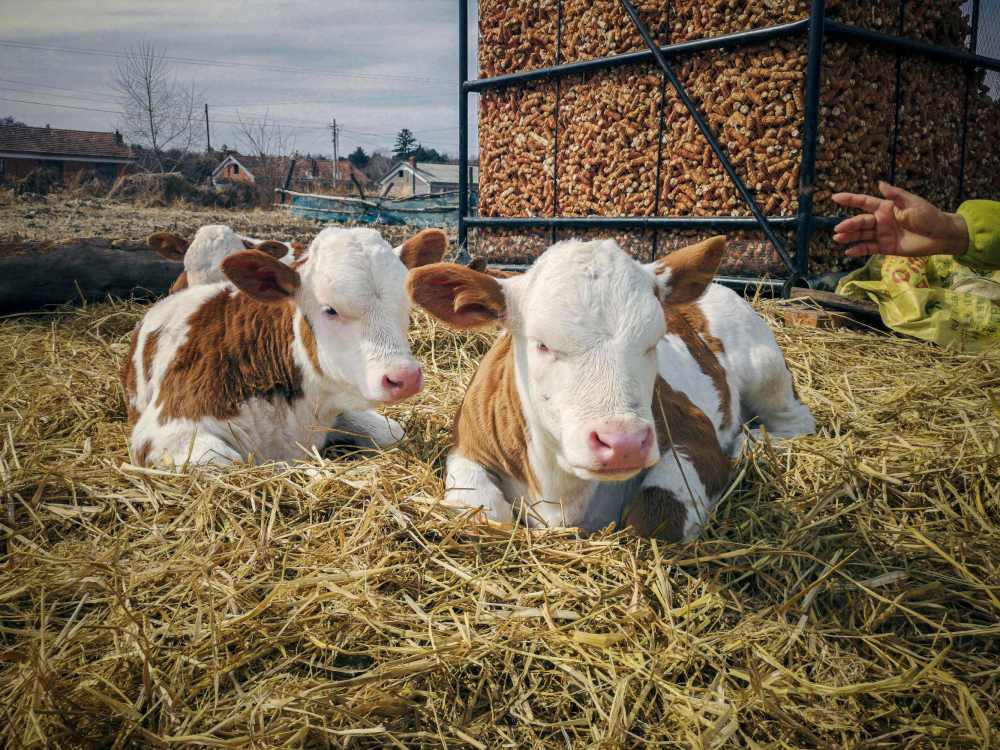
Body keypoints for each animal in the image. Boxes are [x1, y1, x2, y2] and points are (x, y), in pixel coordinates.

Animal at [124, 226, 446, 468]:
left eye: (406, 303)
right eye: (330, 309)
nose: (404, 378)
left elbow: (393, 432)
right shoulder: (164, 432)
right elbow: (235, 463)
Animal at [406, 236, 812, 540]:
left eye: (654, 340)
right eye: (542, 344)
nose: (624, 443)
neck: (562, 492)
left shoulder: (697, 436)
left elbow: (655, 516)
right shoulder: (467, 444)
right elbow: (483, 513)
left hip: (767, 369)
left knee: (797, 422)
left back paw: (749, 443)